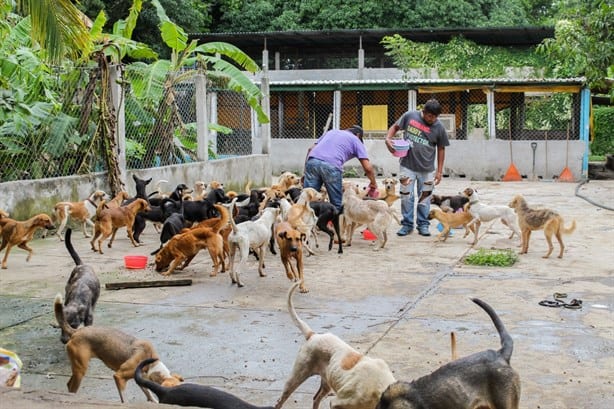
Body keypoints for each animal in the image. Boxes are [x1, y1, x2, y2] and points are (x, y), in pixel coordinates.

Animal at [54, 294, 183, 402]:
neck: (151, 362)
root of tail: (76, 331)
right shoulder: (119, 376)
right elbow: (123, 398)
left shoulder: (140, 379)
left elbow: (149, 394)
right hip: (81, 369)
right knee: (71, 387)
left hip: (78, 368)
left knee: (68, 384)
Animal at [276, 280, 398, 408]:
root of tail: (313, 335)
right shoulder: (336, 403)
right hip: (296, 377)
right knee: (280, 400)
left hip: (327, 382)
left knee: (316, 398)